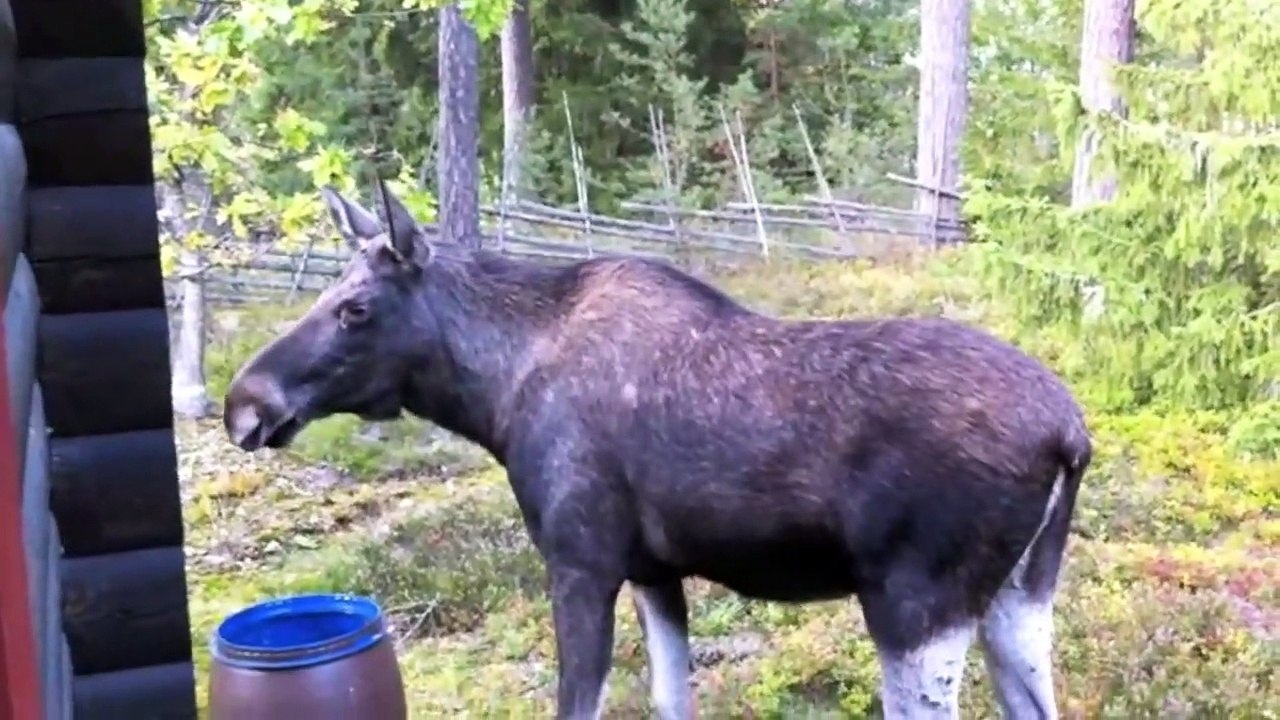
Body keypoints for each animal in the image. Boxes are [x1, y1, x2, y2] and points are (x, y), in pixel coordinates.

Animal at [223, 179, 1092, 720]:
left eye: (355, 308)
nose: (244, 405)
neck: (494, 398)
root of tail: (1070, 435)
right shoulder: (653, 571)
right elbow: (672, 698)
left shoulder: (580, 562)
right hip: (1020, 596)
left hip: (916, 603)